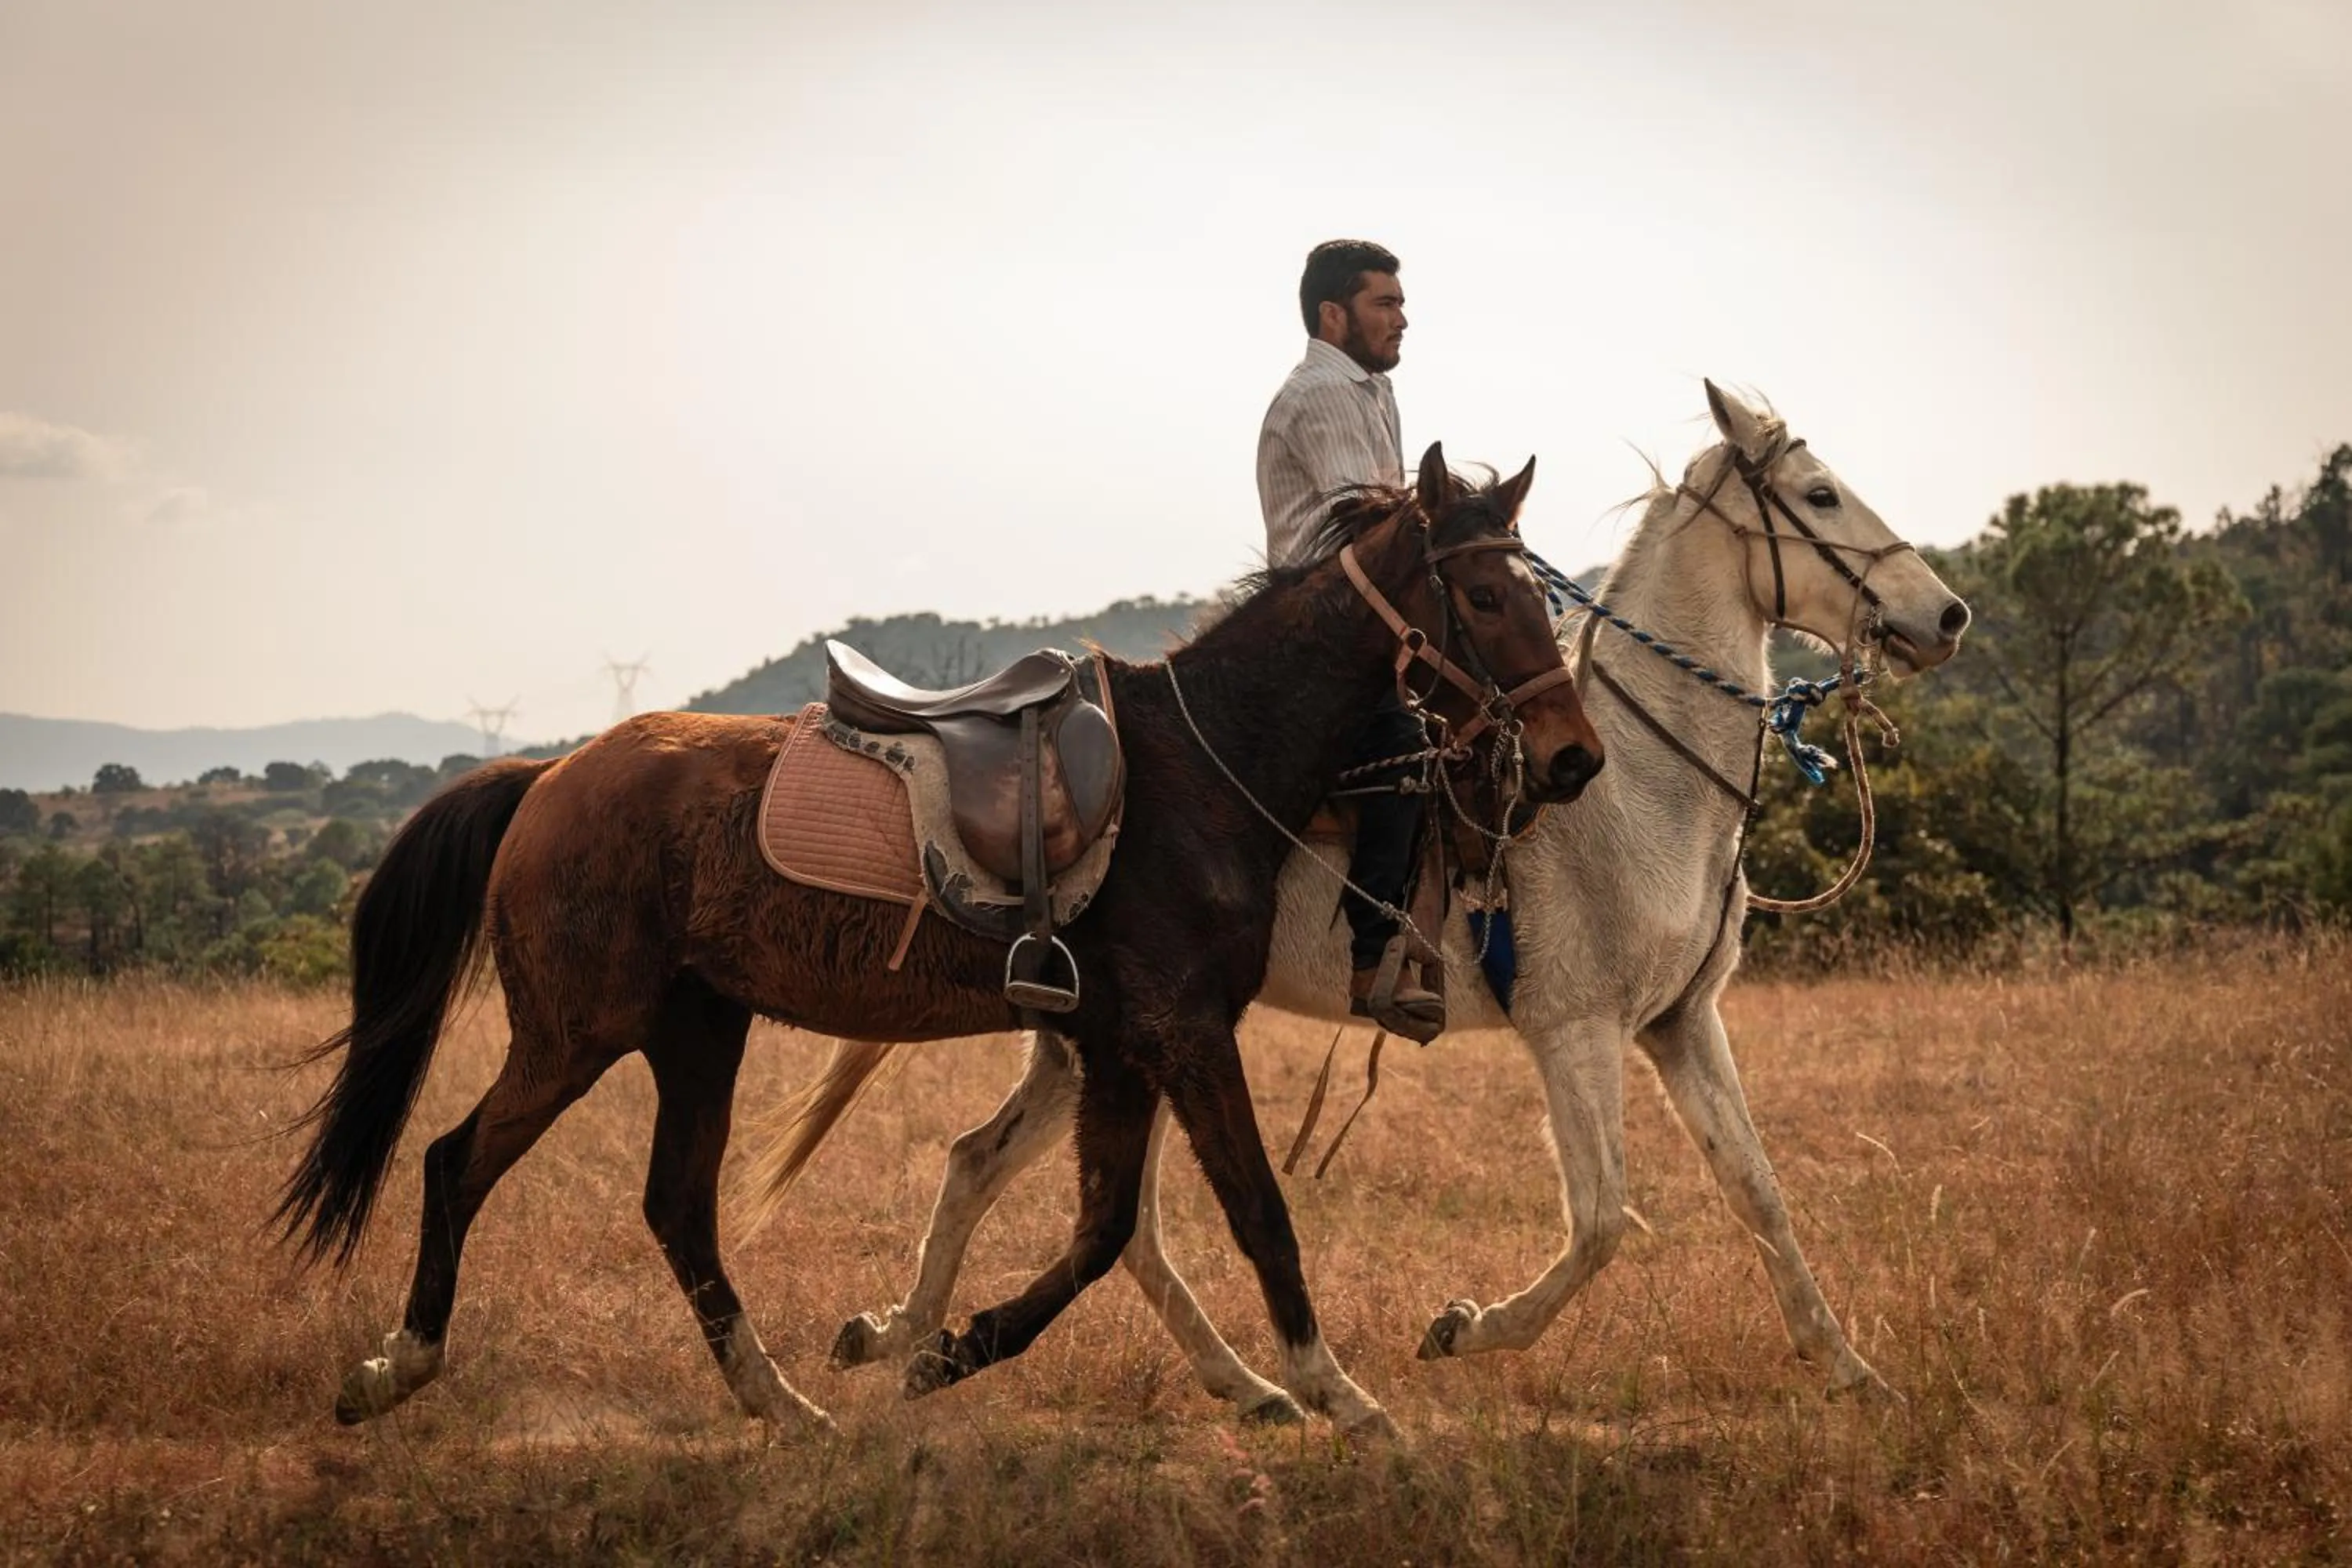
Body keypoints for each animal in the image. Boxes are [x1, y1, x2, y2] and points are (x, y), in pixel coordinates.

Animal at [276, 443, 1605, 1441]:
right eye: (1487, 598)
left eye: (1539, 596)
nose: (1574, 758)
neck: (1203, 764)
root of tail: (548, 776)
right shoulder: (1180, 1033)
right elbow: (1253, 1216)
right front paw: (1344, 1397)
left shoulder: (1119, 1045)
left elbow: (1103, 1231)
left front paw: (943, 1349)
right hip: (578, 1030)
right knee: (458, 1163)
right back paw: (397, 1369)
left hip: (696, 1030)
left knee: (679, 1209)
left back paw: (785, 1405)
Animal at [757, 383, 1972, 1424]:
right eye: (1820, 494)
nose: (1948, 615)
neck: (1642, 782)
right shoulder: (1575, 1031)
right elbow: (1602, 1222)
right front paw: (1463, 1328)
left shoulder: (1682, 1024)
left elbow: (1759, 1194)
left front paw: (1856, 1375)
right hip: (1134, 1037)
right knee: (1083, 1203)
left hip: (1095, 1041)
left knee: (1011, 1174)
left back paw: (931, 1340)